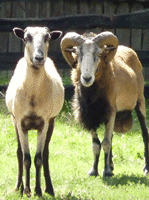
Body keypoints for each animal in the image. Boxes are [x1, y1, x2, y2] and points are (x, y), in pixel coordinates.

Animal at [5, 26, 64, 197]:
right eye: (26, 38)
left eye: (47, 37)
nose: (39, 57)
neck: (33, 96)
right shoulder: (20, 122)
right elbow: (25, 158)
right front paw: (26, 190)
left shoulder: (43, 122)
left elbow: (38, 158)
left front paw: (37, 190)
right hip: (14, 121)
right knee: (19, 153)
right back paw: (18, 187)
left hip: (52, 121)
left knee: (45, 154)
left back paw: (49, 188)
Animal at [60, 31, 149, 178]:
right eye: (78, 53)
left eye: (98, 54)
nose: (87, 78)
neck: (92, 96)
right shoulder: (89, 116)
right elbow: (96, 144)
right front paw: (94, 170)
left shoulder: (111, 111)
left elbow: (106, 142)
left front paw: (106, 171)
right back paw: (112, 166)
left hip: (140, 101)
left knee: (144, 134)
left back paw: (146, 168)